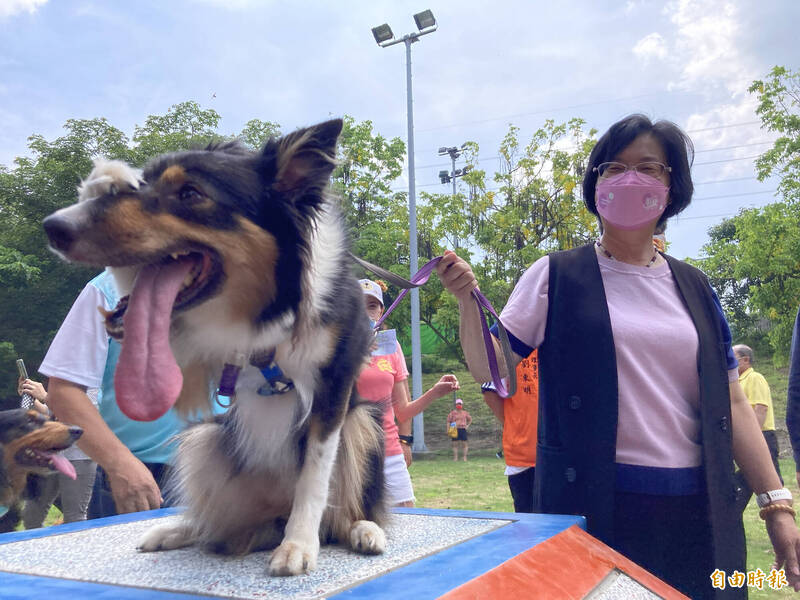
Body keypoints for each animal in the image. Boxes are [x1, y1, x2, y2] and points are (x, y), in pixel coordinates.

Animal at [43, 119, 388, 576]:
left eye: (190, 194)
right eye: (139, 184)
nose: (53, 226)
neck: (272, 306)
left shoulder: (337, 381)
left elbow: (315, 475)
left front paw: (298, 544)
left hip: (365, 420)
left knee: (345, 510)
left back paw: (362, 529)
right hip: (205, 436)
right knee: (218, 518)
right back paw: (180, 530)